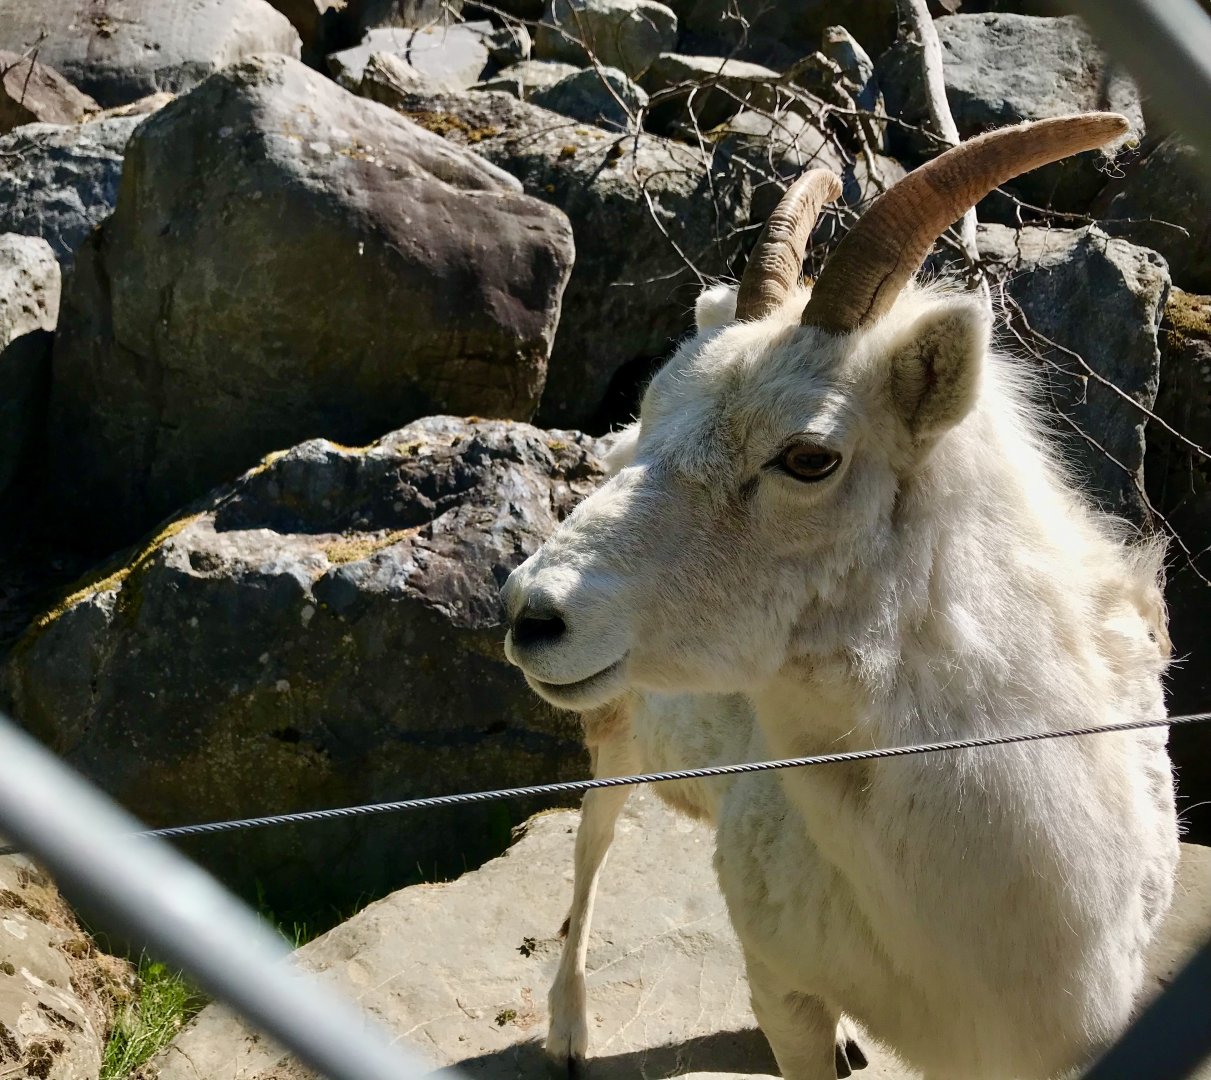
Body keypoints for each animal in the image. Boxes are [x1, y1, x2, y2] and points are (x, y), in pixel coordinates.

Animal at [503, 113, 1179, 1079]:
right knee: (591, 844)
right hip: (616, 732)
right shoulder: (781, 992)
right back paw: (567, 1032)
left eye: (808, 456)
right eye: (659, 405)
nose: (531, 615)